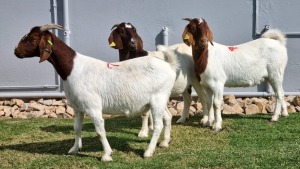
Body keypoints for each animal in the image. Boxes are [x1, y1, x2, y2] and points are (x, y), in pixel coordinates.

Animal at [14, 23, 178, 161]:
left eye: (32, 38)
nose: (16, 51)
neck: (73, 68)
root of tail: (169, 65)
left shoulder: (93, 107)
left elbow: (100, 131)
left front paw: (107, 155)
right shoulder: (78, 108)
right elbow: (77, 128)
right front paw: (74, 149)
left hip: (158, 99)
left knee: (158, 125)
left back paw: (148, 151)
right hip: (160, 100)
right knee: (168, 117)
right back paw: (165, 142)